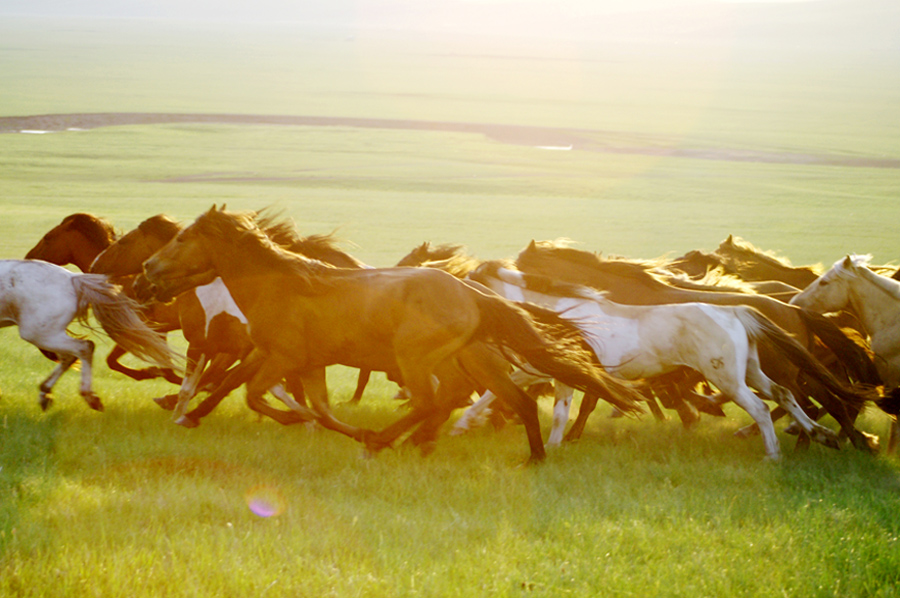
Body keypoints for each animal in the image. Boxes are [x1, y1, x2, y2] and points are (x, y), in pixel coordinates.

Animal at [0, 260, 181, 414]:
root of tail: (73, 278)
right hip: (48, 333)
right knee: (70, 356)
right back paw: (46, 393)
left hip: (39, 333)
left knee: (84, 347)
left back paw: (89, 397)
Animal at [142, 206, 648, 464]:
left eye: (182, 239)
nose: (147, 269)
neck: (282, 284)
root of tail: (471, 292)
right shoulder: (282, 357)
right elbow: (262, 393)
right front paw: (190, 415)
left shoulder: (285, 358)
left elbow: (255, 396)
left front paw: (316, 425)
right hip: (459, 360)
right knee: (500, 400)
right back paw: (528, 456)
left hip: (418, 358)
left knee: (433, 400)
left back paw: (386, 442)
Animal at [458, 262, 872, 460]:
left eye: (467, 279)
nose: (463, 303)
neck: (562, 312)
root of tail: (738, 311)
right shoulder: (551, 372)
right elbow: (529, 401)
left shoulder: (552, 371)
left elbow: (536, 404)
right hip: (755, 371)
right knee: (787, 396)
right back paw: (823, 436)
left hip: (728, 377)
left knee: (763, 408)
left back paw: (775, 454)